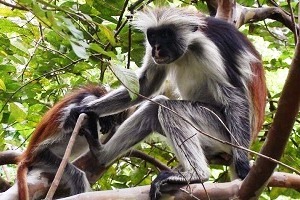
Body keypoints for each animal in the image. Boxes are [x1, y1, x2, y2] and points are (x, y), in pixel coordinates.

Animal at [69, 7, 266, 199]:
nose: (156, 48)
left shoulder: (209, 49)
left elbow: (235, 98)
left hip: (221, 131)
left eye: (165, 35)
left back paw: (198, 174)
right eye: (153, 36)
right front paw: (85, 108)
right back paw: (100, 153)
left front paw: (243, 163)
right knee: (154, 106)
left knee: (169, 108)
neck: (189, 48)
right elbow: (144, 86)